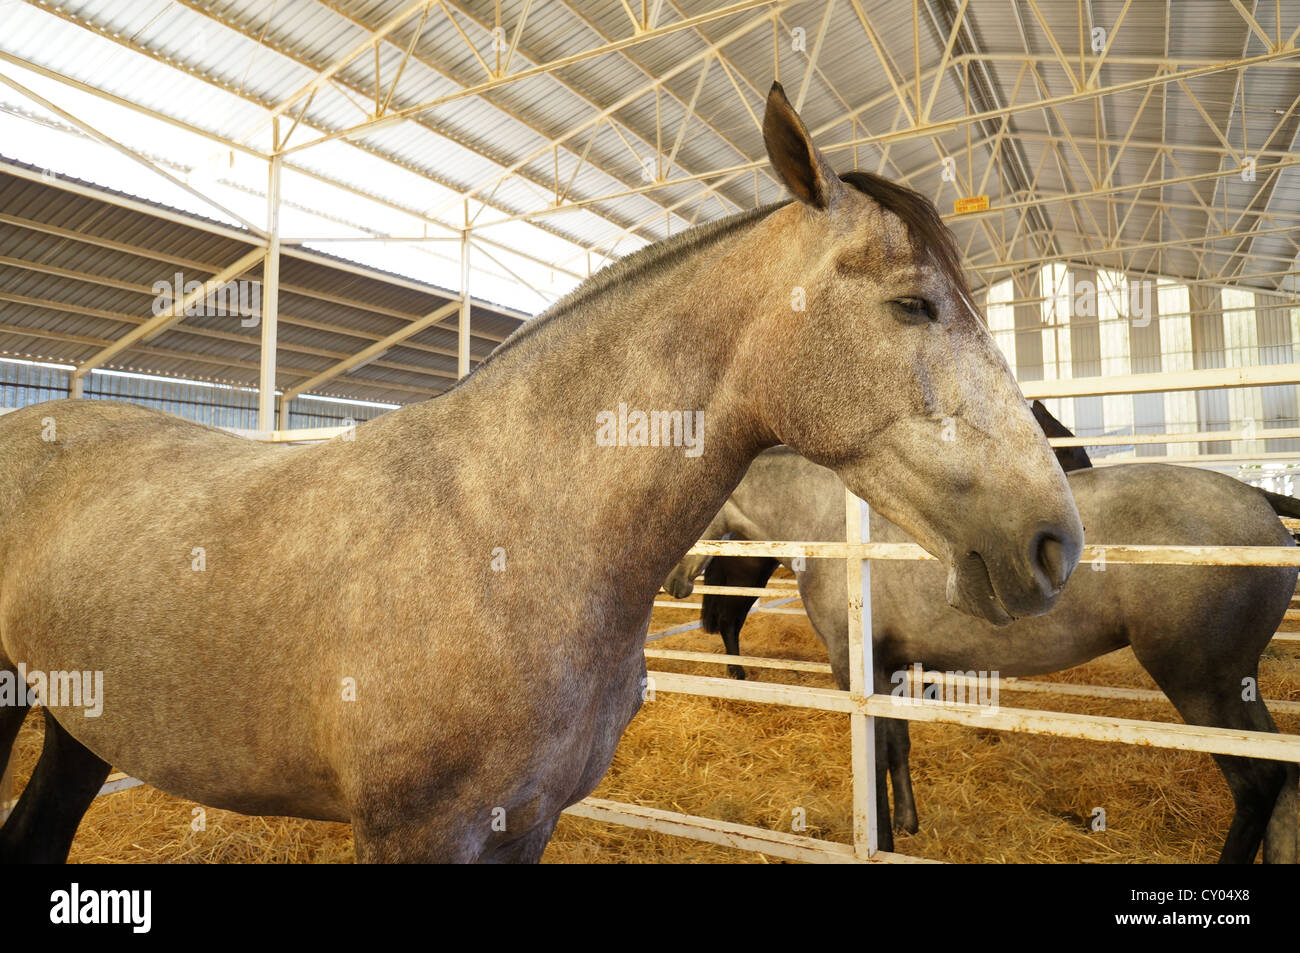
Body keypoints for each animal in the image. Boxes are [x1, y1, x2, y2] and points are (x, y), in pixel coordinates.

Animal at [0, 85, 1081, 863]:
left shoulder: (528, 822)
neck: (504, 539)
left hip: (84, 722)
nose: (1053, 542)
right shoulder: (414, 834)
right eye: (912, 304)